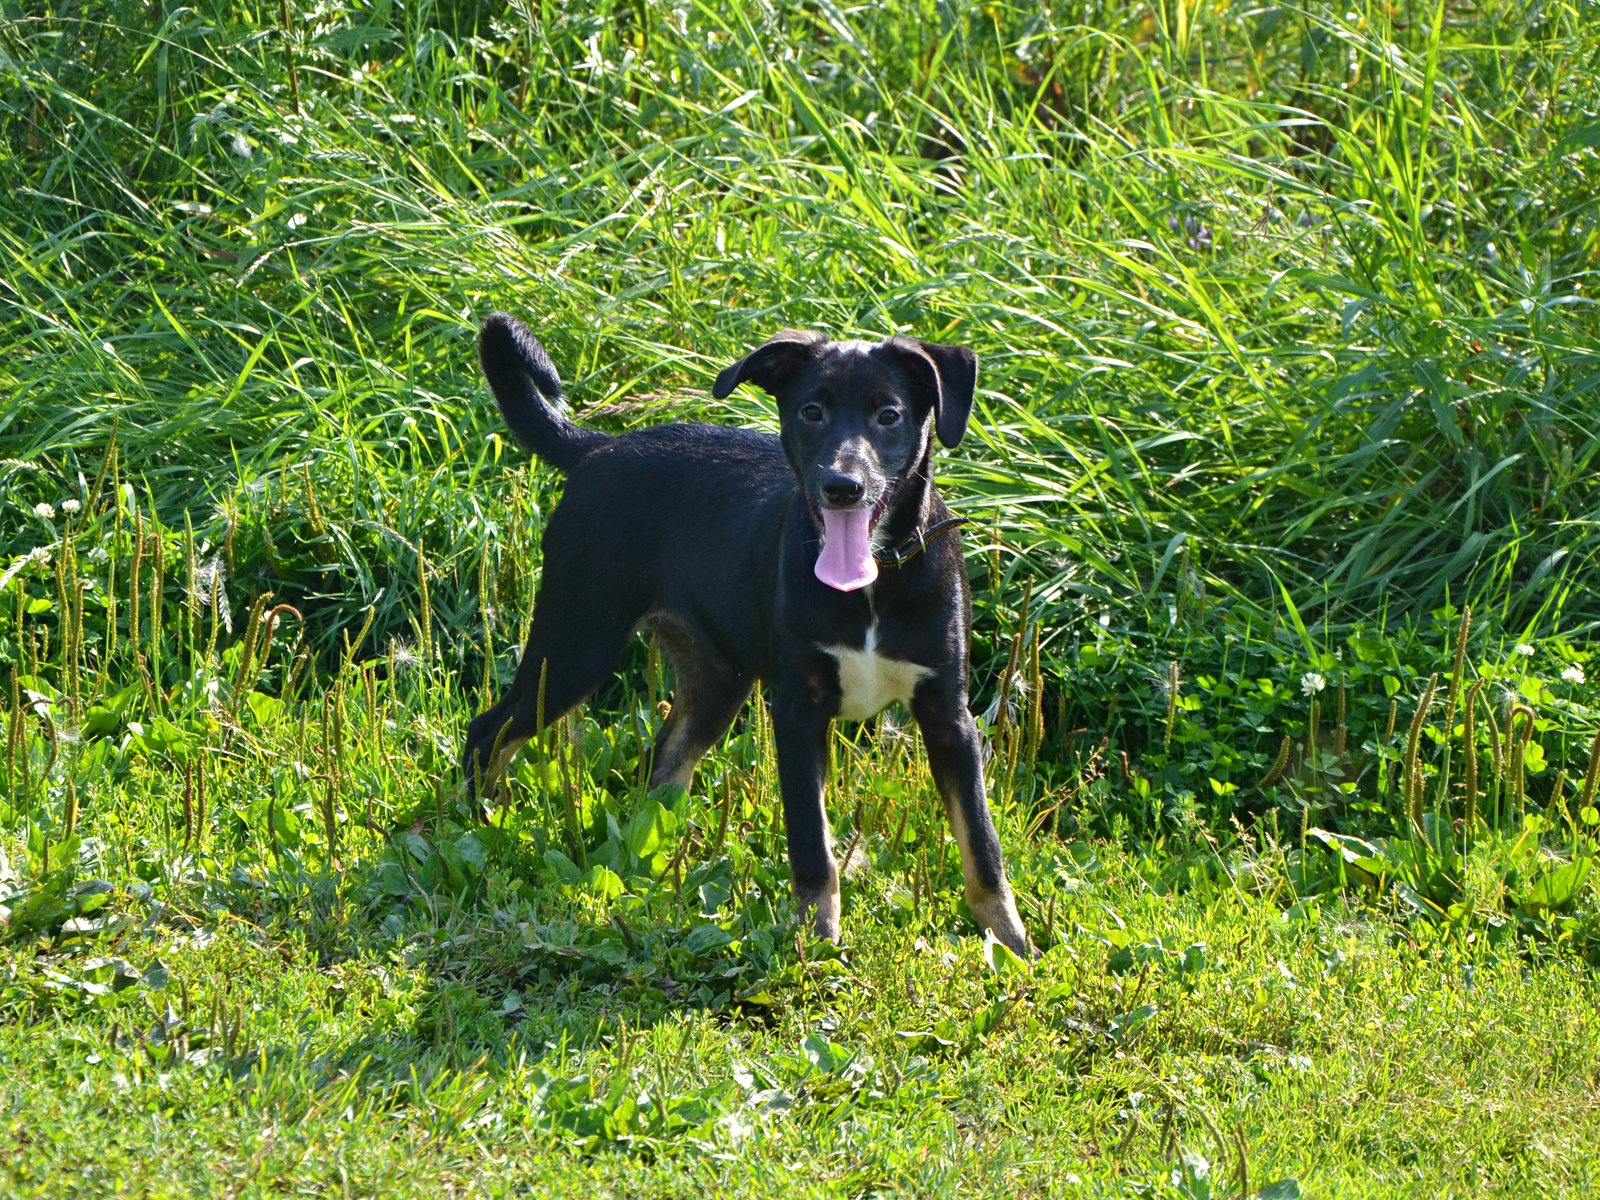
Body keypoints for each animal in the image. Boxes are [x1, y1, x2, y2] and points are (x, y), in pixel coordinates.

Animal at [460, 312, 1036, 960]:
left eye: (889, 415)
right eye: (811, 411)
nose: (842, 487)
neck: (873, 579)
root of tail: (599, 448)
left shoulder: (948, 715)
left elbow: (982, 844)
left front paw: (1013, 946)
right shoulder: (797, 710)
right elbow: (813, 843)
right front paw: (817, 943)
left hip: (715, 680)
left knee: (664, 761)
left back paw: (657, 860)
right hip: (577, 641)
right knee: (489, 731)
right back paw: (485, 830)